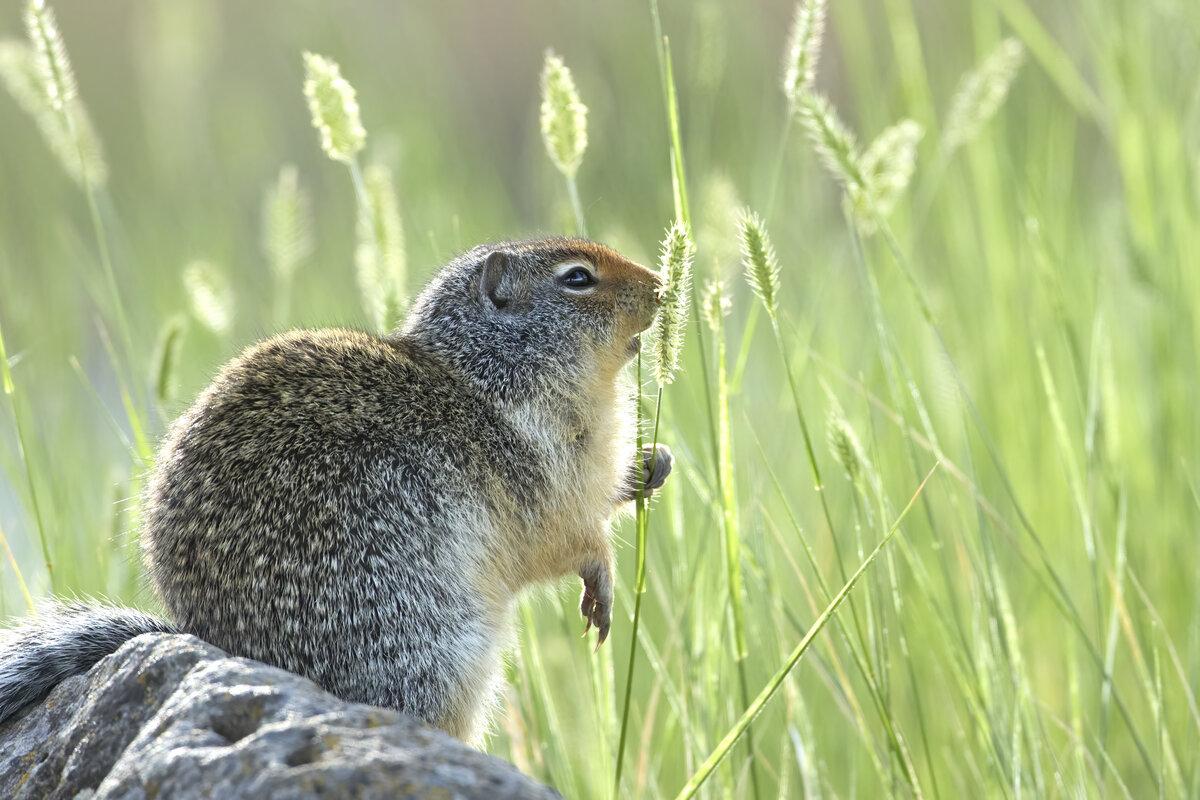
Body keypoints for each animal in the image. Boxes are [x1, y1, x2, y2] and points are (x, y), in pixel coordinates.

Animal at [0, 237, 673, 742]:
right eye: (577, 277)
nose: (663, 285)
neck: (487, 376)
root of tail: (217, 643)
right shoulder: (544, 481)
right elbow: (570, 540)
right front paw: (602, 584)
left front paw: (652, 464)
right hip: (433, 653)